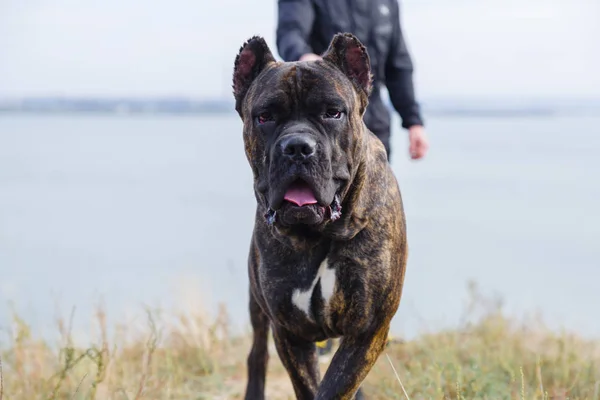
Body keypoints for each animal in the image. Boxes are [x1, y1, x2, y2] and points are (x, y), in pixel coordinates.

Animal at [232, 32, 410, 400]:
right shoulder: (290, 332)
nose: (297, 147)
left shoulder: (368, 330)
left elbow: (335, 386)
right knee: (257, 353)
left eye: (333, 113)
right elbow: (311, 385)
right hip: (258, 307)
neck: (321, 234)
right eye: (265, 116)